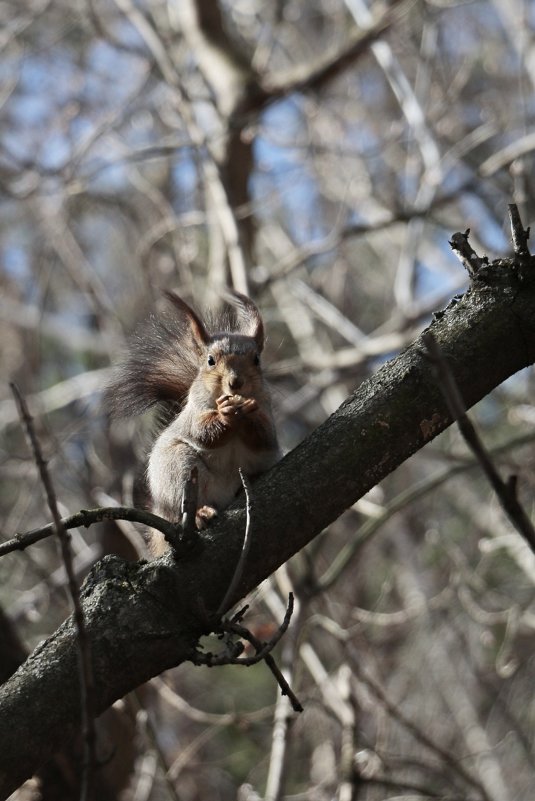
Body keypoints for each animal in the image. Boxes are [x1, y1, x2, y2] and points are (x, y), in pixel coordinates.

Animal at [110, 290, 284, 556]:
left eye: (256, 359)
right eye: (210, 360)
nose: (235, 383)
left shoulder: (267, 412)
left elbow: (264, 437)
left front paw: (248, 414)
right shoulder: (194, 414)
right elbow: (202, 432)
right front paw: (224, 414)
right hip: (178, 469)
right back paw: (200, 514)